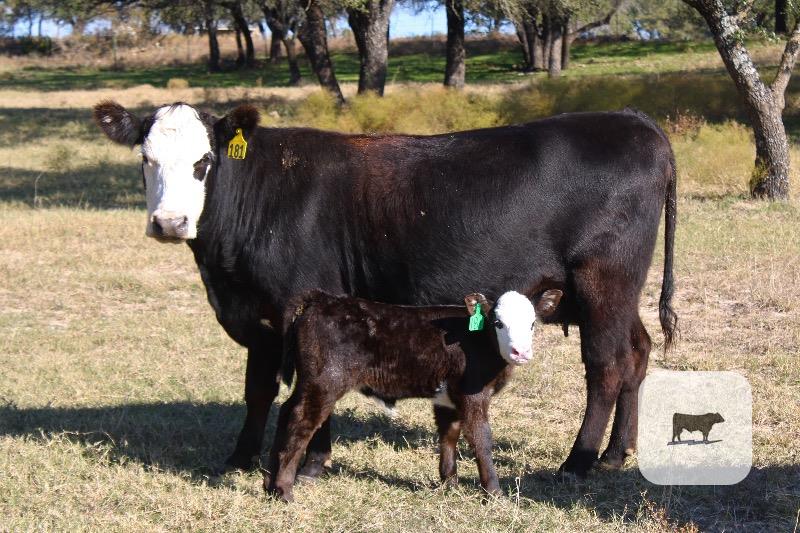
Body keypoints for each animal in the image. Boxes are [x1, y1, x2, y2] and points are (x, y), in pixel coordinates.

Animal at [92, 101, 677, 478]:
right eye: (145, 160)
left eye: (204, 161)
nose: (169, 222)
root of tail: (635, 121)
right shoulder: (260, 318)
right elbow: (257, 389)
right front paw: (239, 459)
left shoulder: (301, 302)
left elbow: (312, 388)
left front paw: (312, 463)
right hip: (619, 292)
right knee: (638, 352)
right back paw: (616, 454)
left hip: (603, 281)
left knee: (606, 368)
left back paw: (578, 463)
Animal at [264, 289, 562, 501]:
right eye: (498, 323)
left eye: (533, 324)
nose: (520, 352)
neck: (479, 341)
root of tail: (321, 299)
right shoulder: (473, 395)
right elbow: (481, 439)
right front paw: (495, 493)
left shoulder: (448, 398)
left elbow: (449, 435)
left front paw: (450, 484)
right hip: (325, 382)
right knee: (301, 420)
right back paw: (285, 491)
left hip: (309, 381)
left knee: (286, 410)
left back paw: (269, 485)